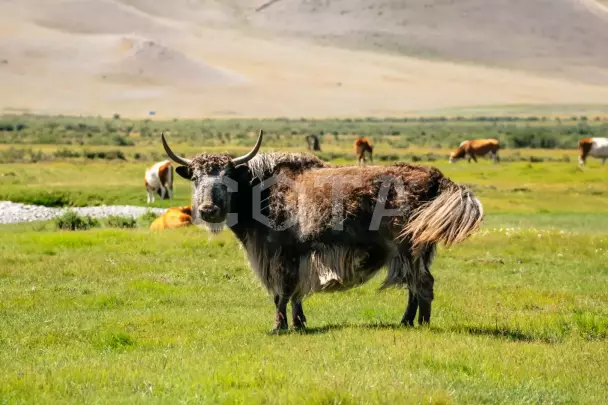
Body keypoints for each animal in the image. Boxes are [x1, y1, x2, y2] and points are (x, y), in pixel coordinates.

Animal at [163, 129, 484, 332]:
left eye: (228, 176)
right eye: (195, 177)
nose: (208, 209)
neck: (258, 191)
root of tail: (436, 177)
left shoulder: (278, 254)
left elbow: (281, 292)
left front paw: (278, 327)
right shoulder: (297, 256)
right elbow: (295, 294)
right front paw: (298, 323)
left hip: (409, 247)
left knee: (423, 284)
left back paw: (421, 324)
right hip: (415, 250)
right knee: (414, 285)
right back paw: (406, 322)